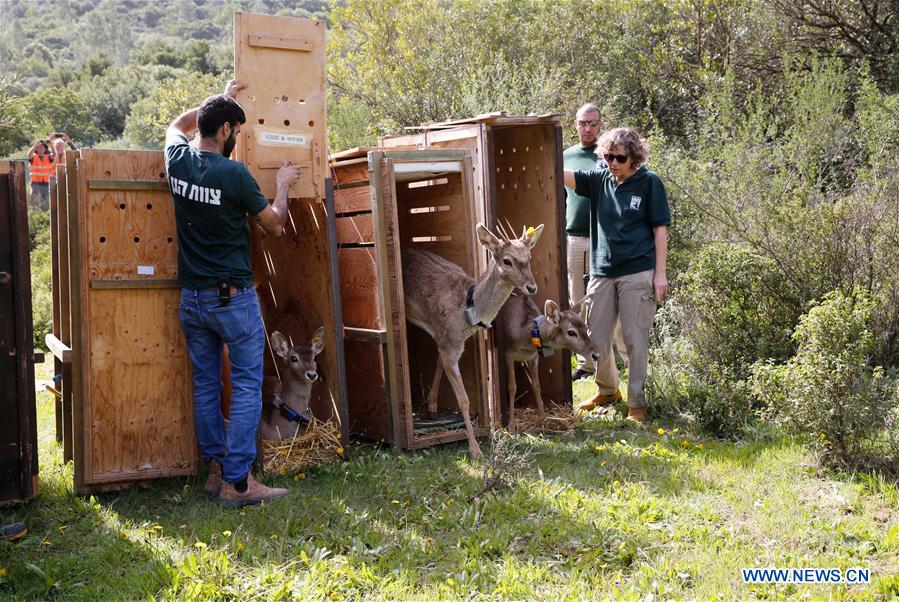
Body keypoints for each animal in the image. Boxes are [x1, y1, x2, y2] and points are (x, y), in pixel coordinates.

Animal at [404, 223, 544, 458]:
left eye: (530, 257)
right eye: (507, 260)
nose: (531, 287)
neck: (468, 310)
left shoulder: (447, 340)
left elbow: (438, 361)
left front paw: (432, 407)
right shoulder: (449, 344)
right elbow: (464, 399)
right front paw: (475, 449)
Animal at [496, 292, 600, 428]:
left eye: (585, 327)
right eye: (571, 332)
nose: (596, 355)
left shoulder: (534, 357)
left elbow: (536, 385)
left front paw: (543, 417)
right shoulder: (508, 353)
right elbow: (512, 387)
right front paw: (511, 425)